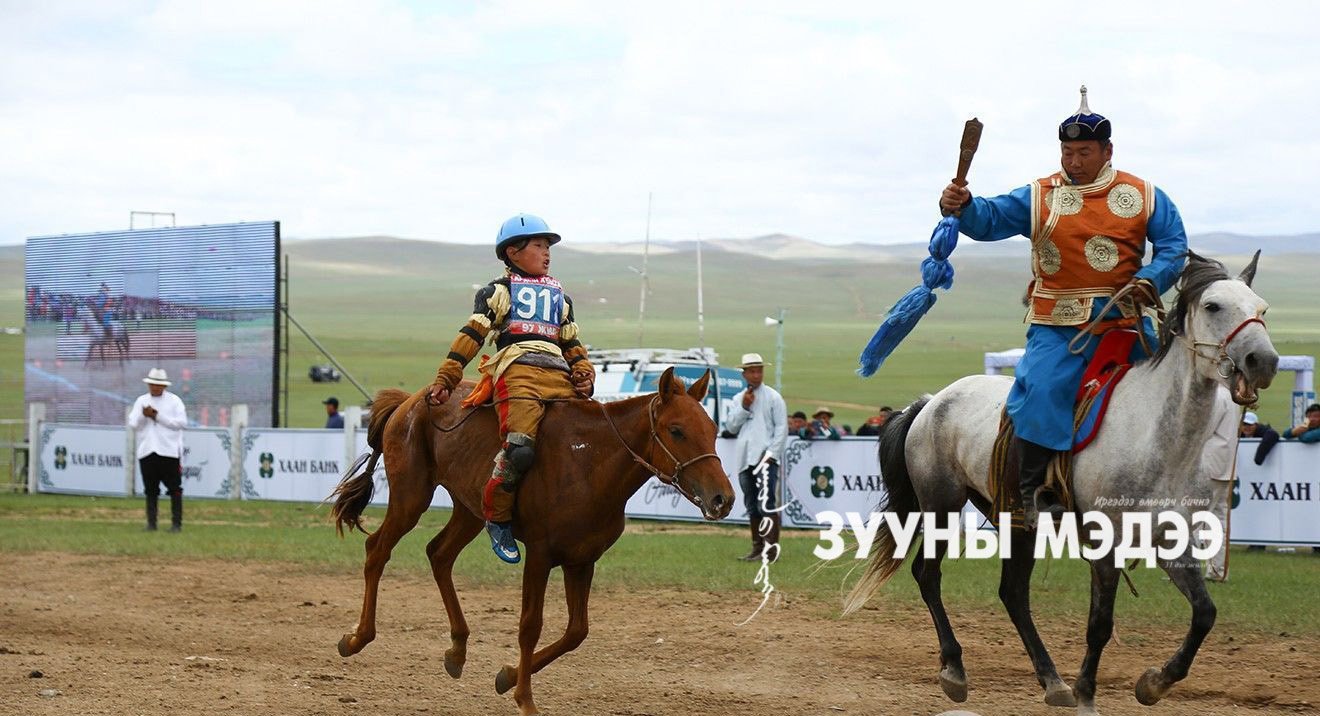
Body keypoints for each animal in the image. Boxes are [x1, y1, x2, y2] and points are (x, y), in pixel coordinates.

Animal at [328, 367, 733, 713]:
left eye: (713, 428)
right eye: (677, 430)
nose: (722, 499)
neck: (588, 460)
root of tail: (410, 402)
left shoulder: (581, 560)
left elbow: (577, 631)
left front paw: (507, 676)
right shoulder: (540, 555)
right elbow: (530, 626)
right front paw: (524, 698)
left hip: (469, 510)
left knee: (439, 554)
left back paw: (457, 650)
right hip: (411, 496)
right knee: (377, 550)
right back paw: (356, 638)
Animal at [844, 252, 1277, 716]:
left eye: (1262, 308)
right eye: (1213, 306)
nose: (1264, 362)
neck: (1156, 437)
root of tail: (930, 402)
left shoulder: (1171, 542)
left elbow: (1204, 614)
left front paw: (1153, 683)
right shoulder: (1106, 546)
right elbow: (1100, 624)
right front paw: (1088, 694)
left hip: (1016, 520)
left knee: (1013, 593)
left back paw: (1052, 681)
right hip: (941, 505)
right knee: (928, 576)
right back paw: (955, 670)